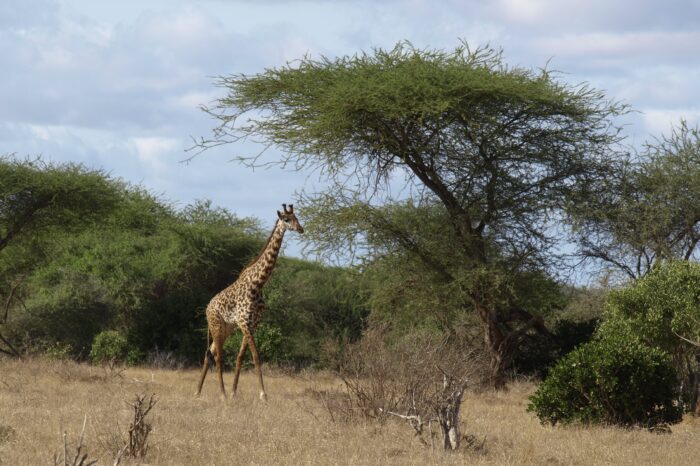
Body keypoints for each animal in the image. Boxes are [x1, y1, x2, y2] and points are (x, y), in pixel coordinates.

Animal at [197, 202, 306, 398]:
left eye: (296, 217)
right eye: (286, 219)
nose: (300, 229)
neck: (258, 283)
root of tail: (207, 308)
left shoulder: (253, 323)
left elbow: (241, 356)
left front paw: (234, 392)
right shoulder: (243, 322)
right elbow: (256, 356)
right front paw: (263, 394)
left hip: (226, 328)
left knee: (209, 353)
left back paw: (198, 392)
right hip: (216, 325)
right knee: (217, 356)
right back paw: (221, 394)